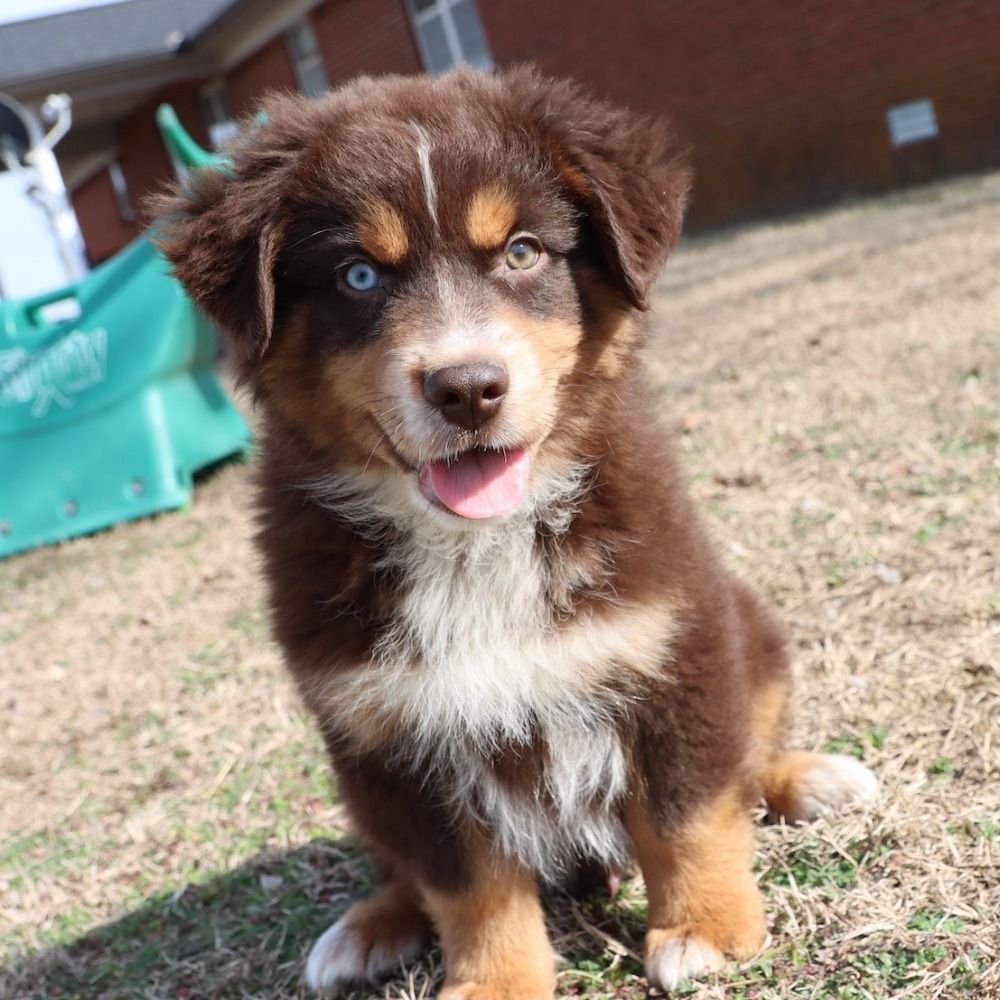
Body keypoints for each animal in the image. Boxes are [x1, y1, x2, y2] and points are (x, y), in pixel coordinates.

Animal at [154, 66, 876, 996]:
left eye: (523, 252)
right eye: (359, 275)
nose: (467, 388)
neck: (475, 545)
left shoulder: (672, 646)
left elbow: (689, 807)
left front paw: (706, 929)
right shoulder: (395, 736)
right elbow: (467, 884)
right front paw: (496, 978)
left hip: (751, 630)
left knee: (749, 754)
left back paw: (812, 778)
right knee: (398, 867)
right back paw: (368, 926)